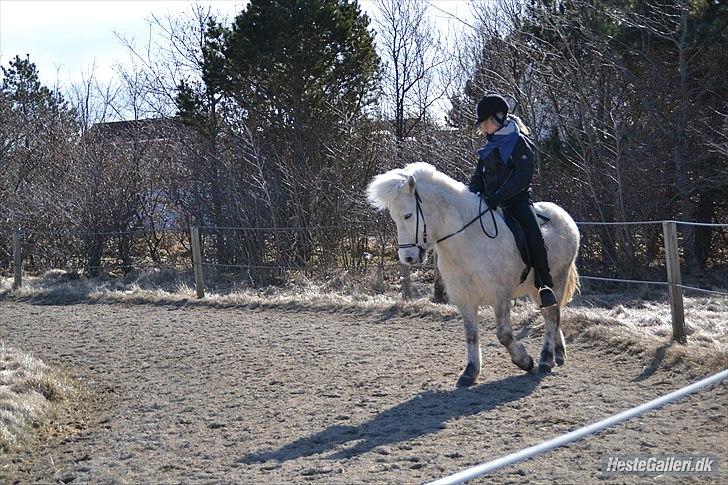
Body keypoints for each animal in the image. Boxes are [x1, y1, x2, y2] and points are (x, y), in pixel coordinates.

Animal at [370, 163, 580, 386]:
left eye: (408, 215)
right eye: (394, 217)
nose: (407, 257)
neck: (467, 239)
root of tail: (563, 215)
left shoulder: (500, 296)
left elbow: (504, 335)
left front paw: (525, 361)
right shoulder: (465, 299)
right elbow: (471, 334)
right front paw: (470, 372)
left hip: (556, 279)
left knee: (551, 316)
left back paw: (546, 359)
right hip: (535, 288)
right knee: (551, 313)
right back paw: (558, 353)